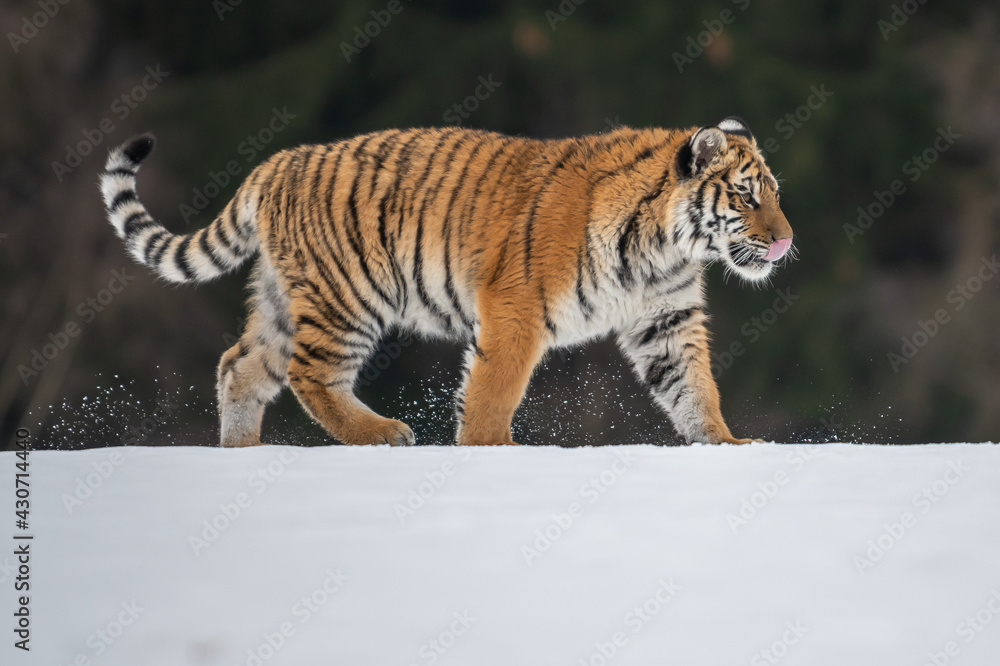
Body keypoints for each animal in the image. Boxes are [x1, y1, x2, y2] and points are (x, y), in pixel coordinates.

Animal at [100, 116, 793, 448]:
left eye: (775, 194)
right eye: (746, 195)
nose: (786, 240)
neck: (664, 249)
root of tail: (274, 163)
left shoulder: (665, 320)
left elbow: (694, 389)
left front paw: (727, 443)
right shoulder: (516, 308)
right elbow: (492, 389)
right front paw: (492, 450)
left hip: (282, 300)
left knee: (238, 367)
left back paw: (241, 454)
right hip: (348, 297)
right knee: (309, 374)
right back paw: (383, 434)